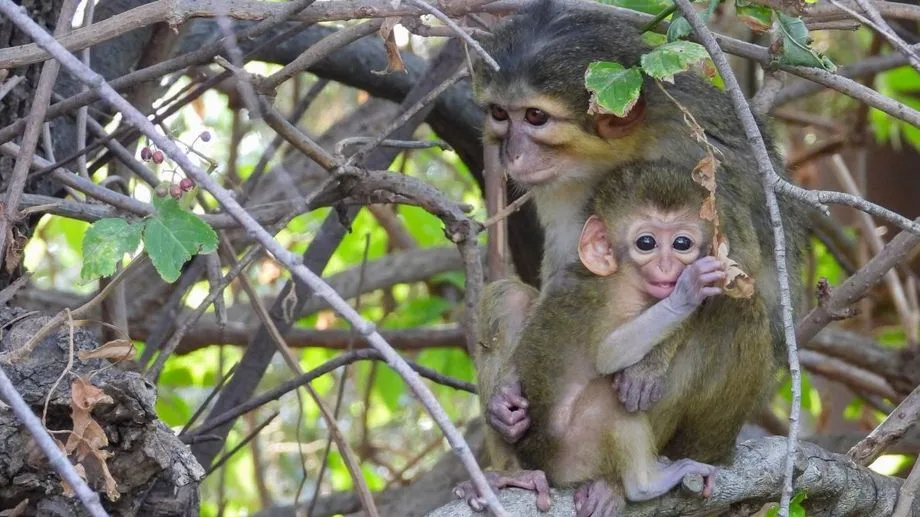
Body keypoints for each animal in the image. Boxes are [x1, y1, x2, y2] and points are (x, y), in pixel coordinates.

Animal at [466, 0, 809, 490]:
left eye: (534, 117)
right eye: (500, 113)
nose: (511, 152)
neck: (620, 148)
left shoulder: (696, 157)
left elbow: (737, 264)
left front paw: (649, 365)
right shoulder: (561, 186)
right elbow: (564, 278)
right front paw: (504, 400)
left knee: (736, 307)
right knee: (507, 295)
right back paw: (517, 473)